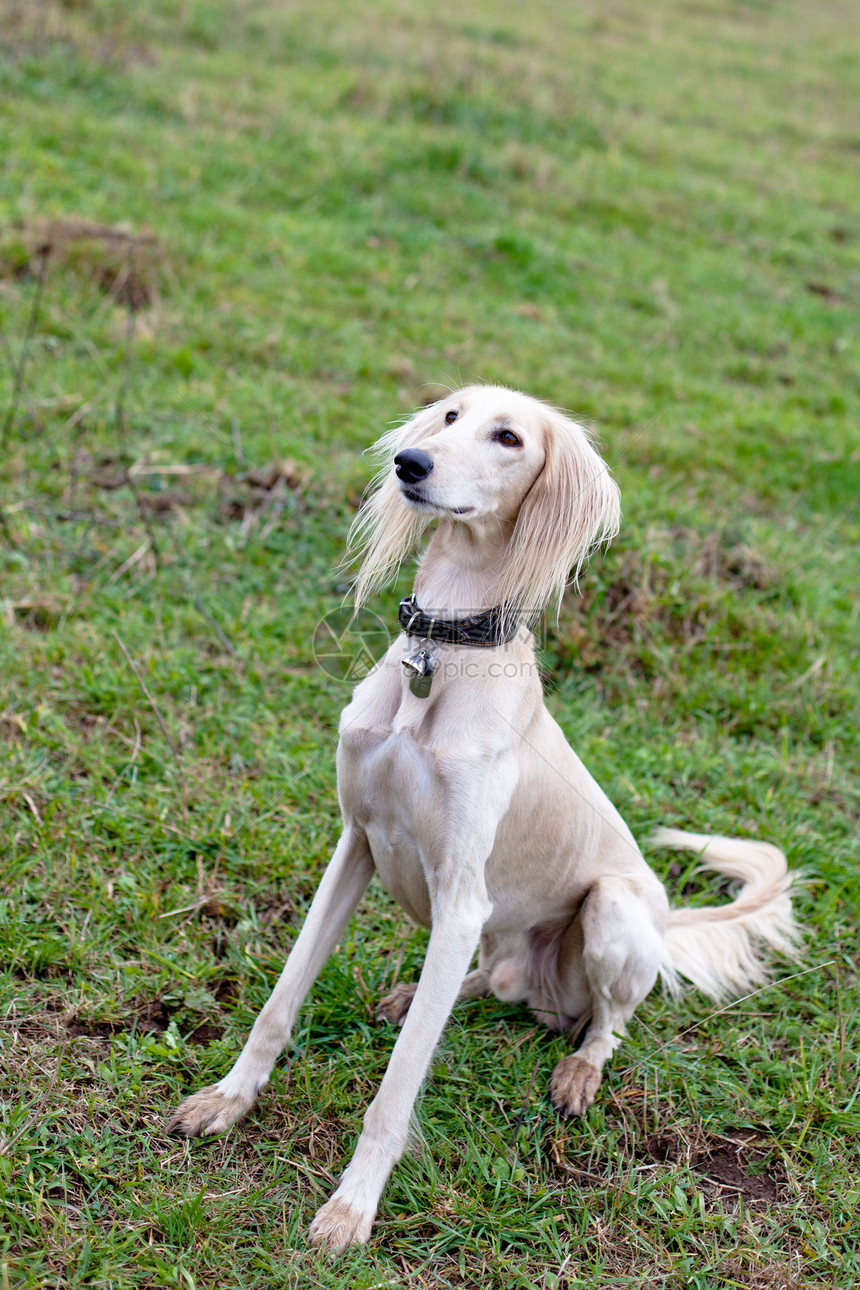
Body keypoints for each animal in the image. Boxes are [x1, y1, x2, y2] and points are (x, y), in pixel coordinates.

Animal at [170, 384, 799, 1248]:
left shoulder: (462, 894)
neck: (441, 654)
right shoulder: (354, 845)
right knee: (493, 980)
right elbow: (279, 1001)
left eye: (509, 438)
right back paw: (421, 996)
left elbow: (397, 1086)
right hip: (496, 935)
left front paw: (351, 1209)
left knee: (607, 1023)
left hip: (612, 909)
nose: (411, 464)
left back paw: (578, 1070)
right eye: (447, 417)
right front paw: (228, 1100)